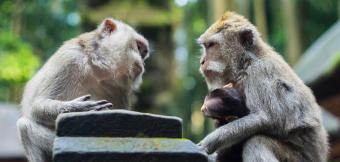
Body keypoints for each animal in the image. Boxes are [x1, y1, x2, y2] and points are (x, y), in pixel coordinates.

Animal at [16, 18, 149, 162]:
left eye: (143, 53)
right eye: (138, 47)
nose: (143, 63)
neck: (98, 68)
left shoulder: (121, 88)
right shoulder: (69, 58)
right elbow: (36, 106)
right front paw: (78, 107)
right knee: (25, 126)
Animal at [197, 11, 330, 162]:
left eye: (211, 45)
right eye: (205, 46)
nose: (202, 61)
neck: (246, 61)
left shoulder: (259, 72)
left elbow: (265, 118)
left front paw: (208, 143)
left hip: (298, 158)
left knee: (256, 142)